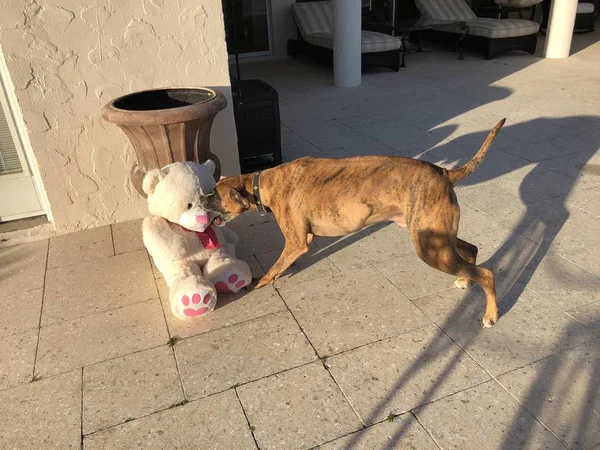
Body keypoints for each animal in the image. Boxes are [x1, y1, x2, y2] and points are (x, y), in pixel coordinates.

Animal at [213, 118, 504, 326]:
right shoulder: (303, 240)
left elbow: (272, 269)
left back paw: (491, 313)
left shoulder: (296, 243)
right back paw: (466, 281)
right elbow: (284, 263)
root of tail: (444, 173)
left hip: (432, 249)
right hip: (440, 239)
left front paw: (258, 282)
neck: (263, 182)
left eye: (214, 195)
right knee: (472, 251)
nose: (202, 202)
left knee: (487, 274)